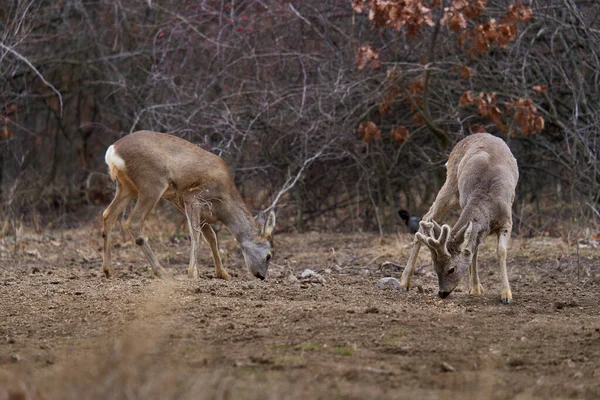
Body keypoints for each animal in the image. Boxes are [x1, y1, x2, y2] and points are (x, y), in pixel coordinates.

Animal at [101, 131, 276, 282]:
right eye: (268, 255)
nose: (262, 276)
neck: (224, 204)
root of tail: (112, 150)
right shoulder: (192, 196)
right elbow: (195, 235)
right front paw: (194, 273)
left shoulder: (189, 206)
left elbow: (211, 237)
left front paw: (222, 273)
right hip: (152, 184)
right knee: (133, 222)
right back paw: (162, 272)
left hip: (127, 186)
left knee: (108, 214)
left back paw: (109, 271)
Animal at [398, 133, 520, 304]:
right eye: (435, 268)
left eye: (451, 269)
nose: (442, 293)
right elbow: (474, 250)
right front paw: (476, 288)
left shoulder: (507, 221)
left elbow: (499, 251)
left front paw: (506, 295)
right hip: (452, 182)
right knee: (427, 216)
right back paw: (404, 281)